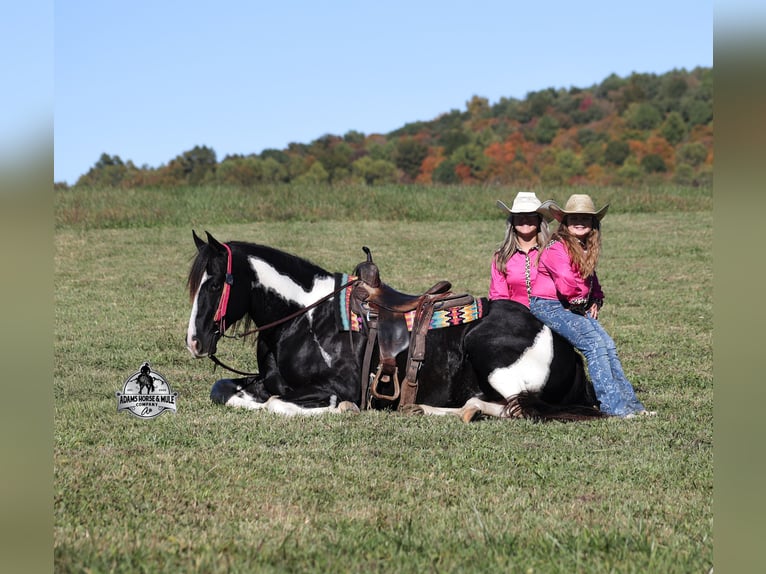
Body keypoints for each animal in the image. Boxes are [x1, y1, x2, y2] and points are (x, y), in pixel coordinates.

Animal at [185, 231, 604, 421]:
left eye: (215, 282)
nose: (194, 341)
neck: (305, 316)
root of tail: (566, 348)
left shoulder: (337, 385)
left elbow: (277, 403)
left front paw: (344, 409)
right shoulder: (267, 379)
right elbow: (224, 390)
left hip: (493, 357)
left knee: (515, 407)